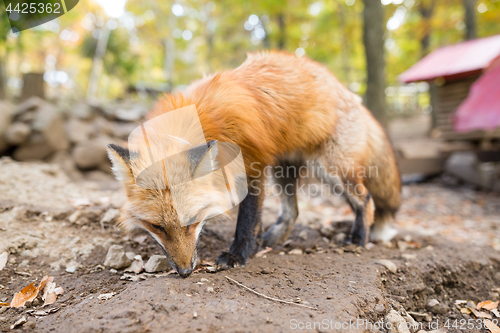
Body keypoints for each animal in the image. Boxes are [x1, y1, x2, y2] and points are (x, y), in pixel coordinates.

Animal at [107, 51, 400, 278]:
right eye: (157, 227)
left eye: (193, 221)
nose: (185, 271)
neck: (200, 120)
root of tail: (351, 94)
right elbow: (255, 220)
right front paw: (254, 246)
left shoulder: (253, 165)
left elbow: (247, 220)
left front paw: (238, 254)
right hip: (284, 169)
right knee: (292, 211)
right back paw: (273, 239)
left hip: (330, 169)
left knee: (366, 199)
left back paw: (358, 238)